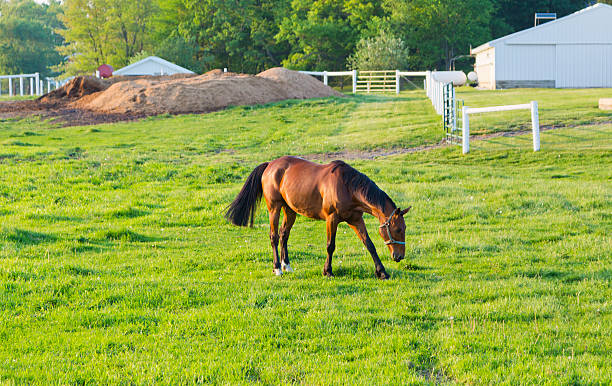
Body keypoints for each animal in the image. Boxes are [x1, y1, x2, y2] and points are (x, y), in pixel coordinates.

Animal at [225, 155, 412, 278]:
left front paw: (382, 272)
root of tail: (270, 164)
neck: (348, 187)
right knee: (274, 236)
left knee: (284, 235)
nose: (399, 256)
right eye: (397, 229)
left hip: (290, 210)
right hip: (274, 209)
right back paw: (277, 268)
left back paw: (287, 265)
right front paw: (327, 271)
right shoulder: (332, 219)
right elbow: (330, 246)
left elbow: (369, 244)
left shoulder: (355, 219)